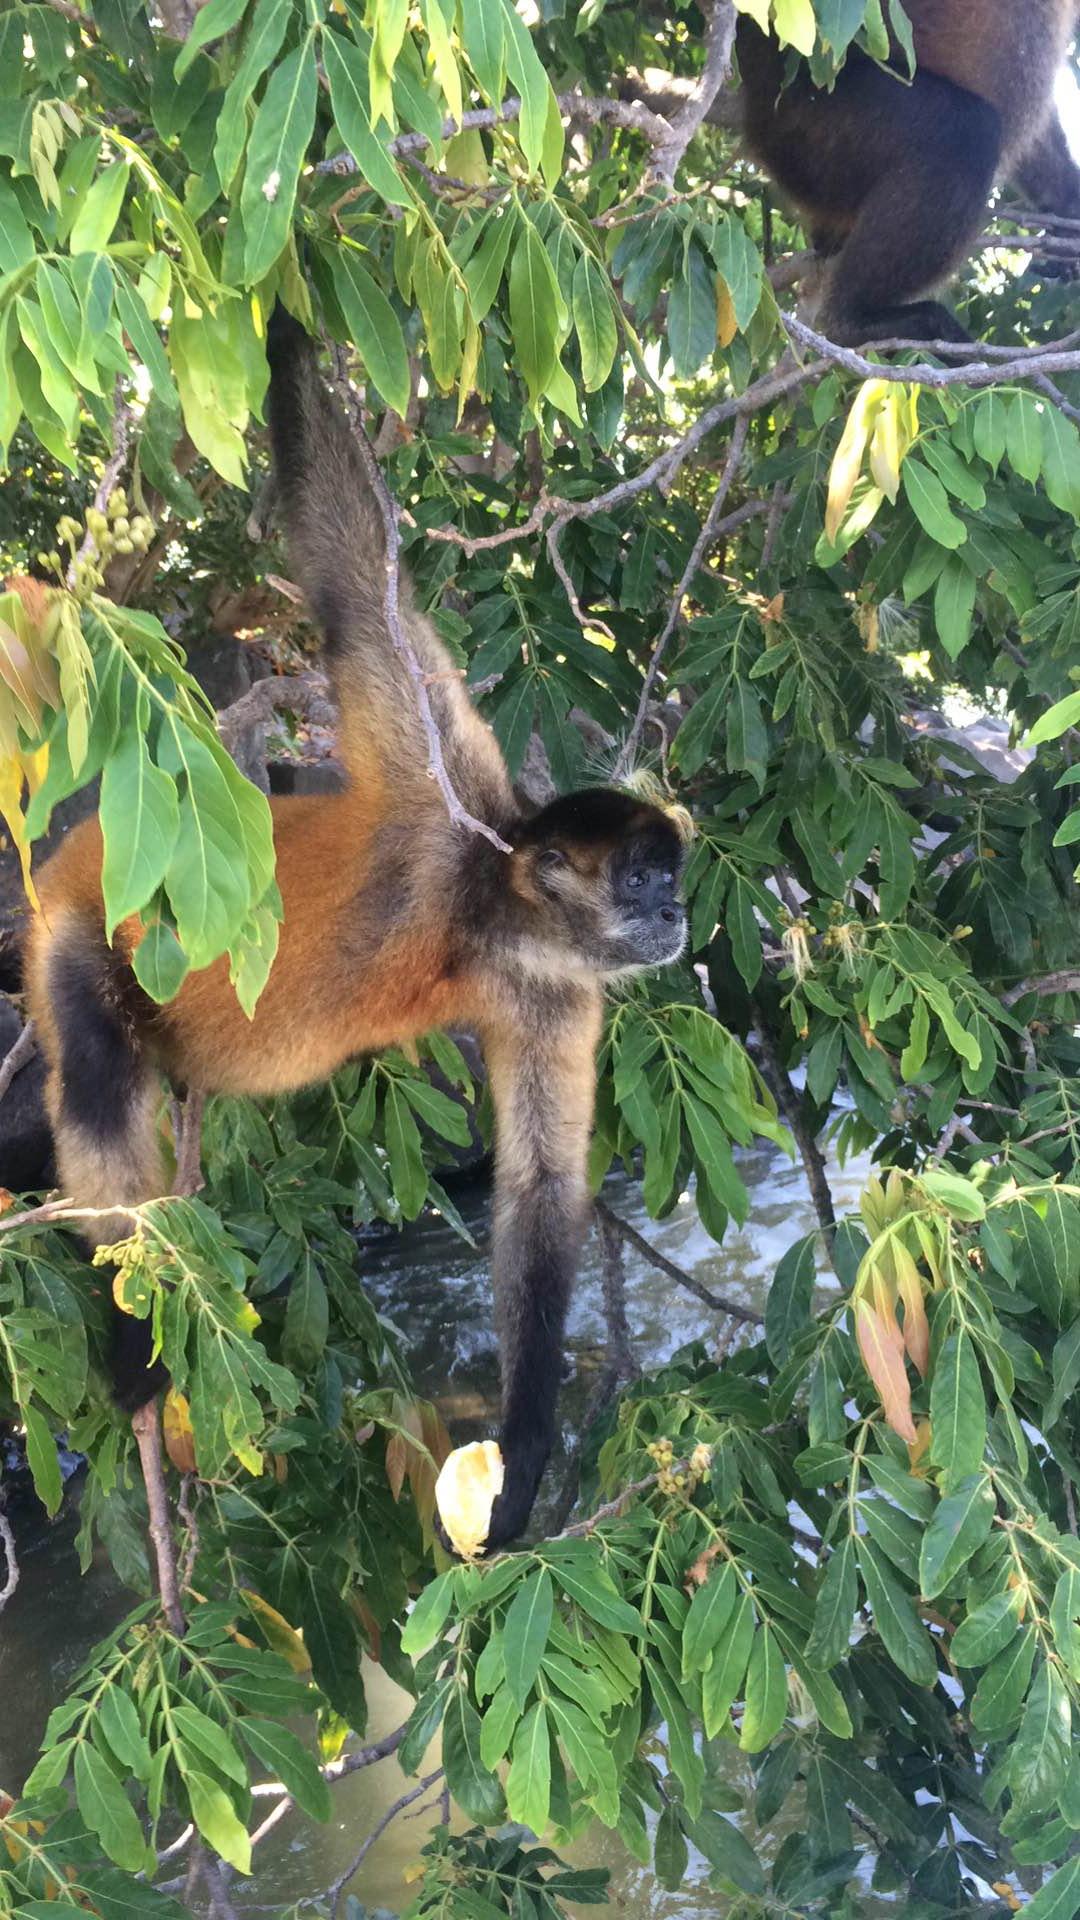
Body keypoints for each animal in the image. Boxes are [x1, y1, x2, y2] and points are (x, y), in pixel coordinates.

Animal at [23, 303, 687, 1559]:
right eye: (643, 877)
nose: (678, 913)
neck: (481, 914)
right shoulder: (443, 786)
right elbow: (349, 577)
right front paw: (285, 322)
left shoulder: (554, 988)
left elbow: (538, 1189)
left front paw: (525, 1461)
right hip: (75, 926)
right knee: (92, 1074)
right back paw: (135, 1339)